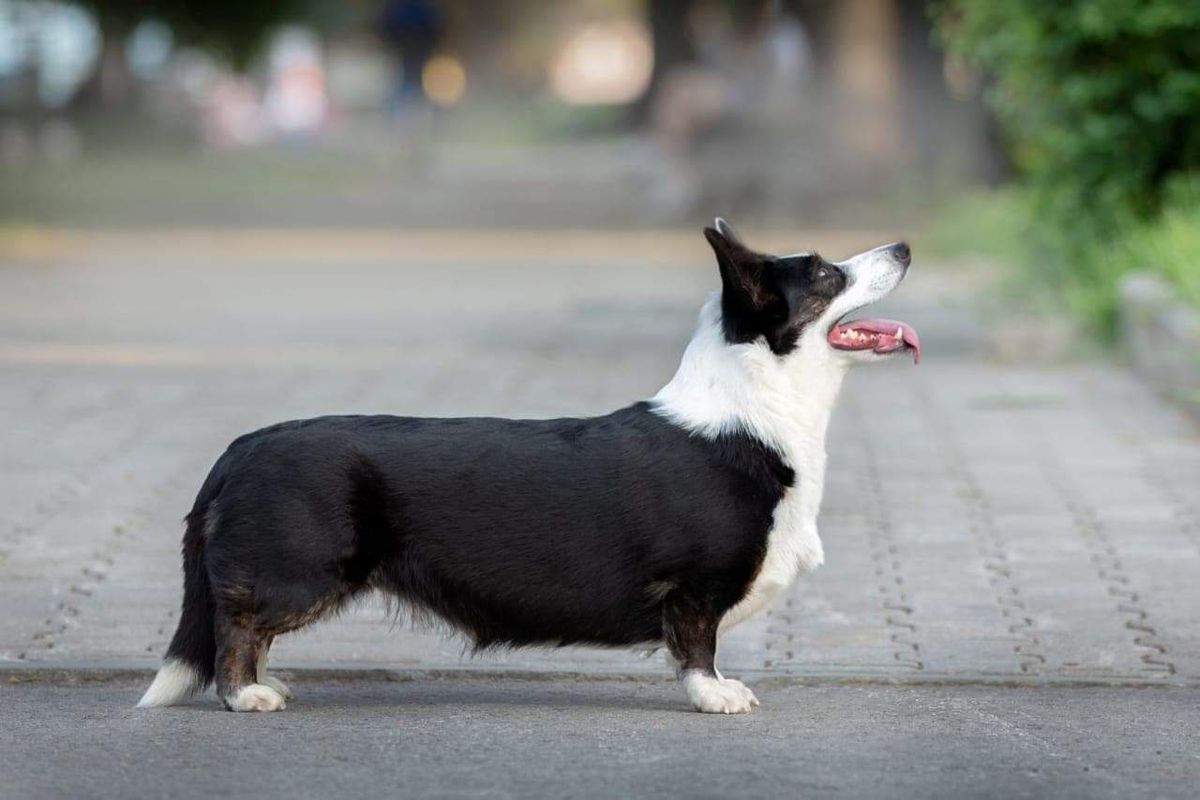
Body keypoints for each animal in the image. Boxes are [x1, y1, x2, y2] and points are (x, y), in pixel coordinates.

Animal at [136, 219, 916, 714]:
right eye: (826, 273)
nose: (905, 246)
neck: (757, 408)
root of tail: (240, 448)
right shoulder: (694, 588)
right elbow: (698, 648)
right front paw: (717, 695)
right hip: (303, 571)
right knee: (238, 626)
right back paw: (247, 696)